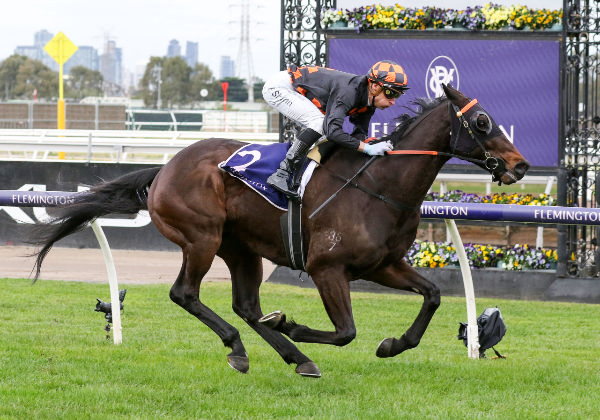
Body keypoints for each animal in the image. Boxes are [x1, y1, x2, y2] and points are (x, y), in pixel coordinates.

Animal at [31, 84, 528, 378]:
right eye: (482, 121)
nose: (521, 165)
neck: (377, 187)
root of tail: (165, 168)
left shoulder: (383, 264)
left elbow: (433, 295)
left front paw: (393, 344)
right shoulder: (327, 268)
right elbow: (345, 331)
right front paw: (292, 324)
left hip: (241, 249)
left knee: (247, 306)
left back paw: (294, 357)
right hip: (202, 237)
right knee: (185, 294)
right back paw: (243, 347)